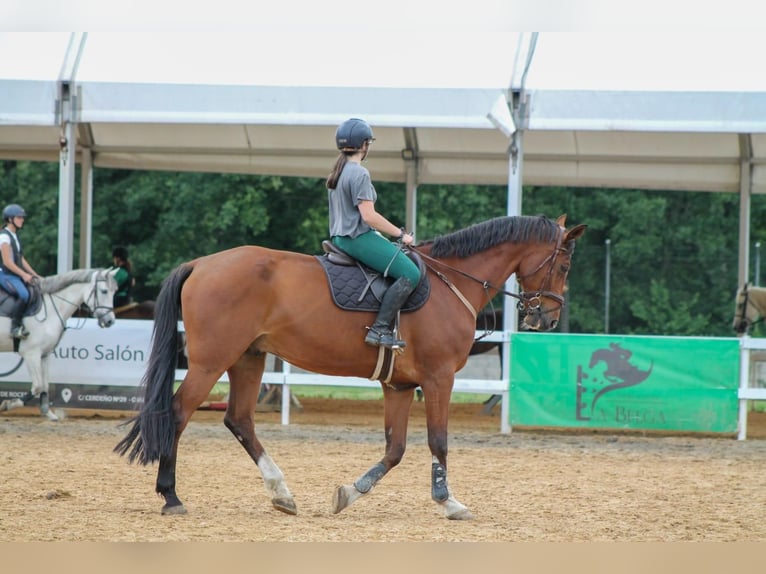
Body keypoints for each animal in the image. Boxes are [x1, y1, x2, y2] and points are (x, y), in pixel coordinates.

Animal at [0, 268, 119, 421]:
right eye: (104, 291)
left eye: (114, 292)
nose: (110, 321)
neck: (51, 308)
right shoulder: (31, 354)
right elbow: (38, 386)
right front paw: (7, 405)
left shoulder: (44, 355)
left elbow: (45, 385)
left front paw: (48, 413)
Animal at [115, 214, 586, 520]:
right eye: (564, 264)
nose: (546, 318)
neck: (451, 282)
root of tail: (201, 263)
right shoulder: (439, 378)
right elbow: (438, 441)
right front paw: (448, 501)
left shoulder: (400, 386)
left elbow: (395, 449)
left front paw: (350, 493)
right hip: (212, 360)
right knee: (178, 413)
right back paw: (171, 497)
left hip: (249, 357)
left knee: (239, 420)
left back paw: (282, 494)